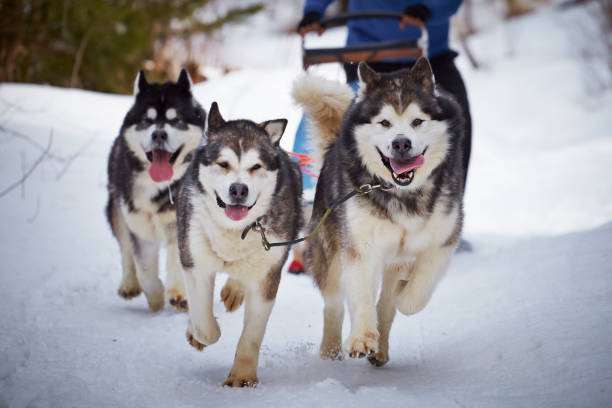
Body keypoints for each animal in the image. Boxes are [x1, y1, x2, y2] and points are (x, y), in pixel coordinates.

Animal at [107, 69, 206, 312]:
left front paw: (178, 293)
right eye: (147, 121)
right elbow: (145, 272)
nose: (159, 135)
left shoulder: (181, 226)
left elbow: (178, 261)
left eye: (176, 120)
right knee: (125, 250)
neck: (160, 187)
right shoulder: (140, 229)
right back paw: (129, 284)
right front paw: (155, 298)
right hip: (118, 210)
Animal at [176, 102, 302, 386]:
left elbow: (252, 336)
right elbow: (204, 324)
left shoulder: (267, 275)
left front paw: (242, 377)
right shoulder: (195, 261)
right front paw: (197, 334)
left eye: (256, 166)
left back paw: (234, 289)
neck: (233, 231)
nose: (238, 189)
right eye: (223, 163)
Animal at [294, 58, 466, 366]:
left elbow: (413, 295)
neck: (403, 194)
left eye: (417, 121)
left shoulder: (442, 242)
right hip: (331, 254)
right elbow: (362, 299)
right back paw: (331, 351)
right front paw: (361, 338)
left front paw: (403, 295)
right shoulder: (361, 248)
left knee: (385, 304)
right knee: (334, 304)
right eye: (384, 122)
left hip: (395, 261)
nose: (401, 143)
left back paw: (381, 346)